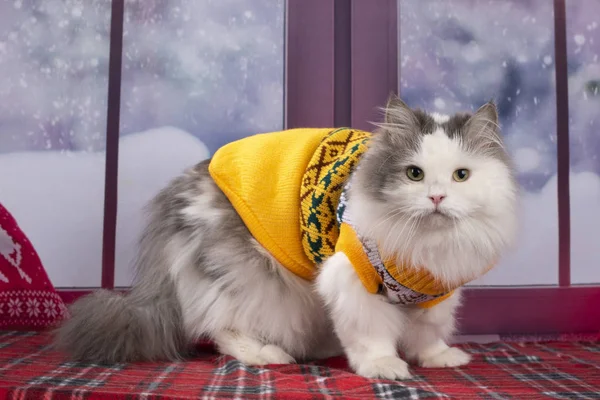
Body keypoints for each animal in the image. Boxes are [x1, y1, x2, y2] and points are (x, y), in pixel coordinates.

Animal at [54, 95, 516, 380]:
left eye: (461, 175)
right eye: (414, 174)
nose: (437, 197)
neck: (427, 246)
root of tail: (177, 194)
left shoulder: (436, 291)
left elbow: (428, 332)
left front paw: (440, 359)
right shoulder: (352, 279)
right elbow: (372, 333)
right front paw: (383, 367)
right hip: (252, 282)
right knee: (220, 327)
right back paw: (269, 355)